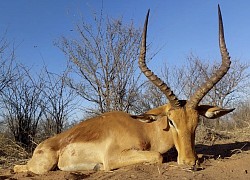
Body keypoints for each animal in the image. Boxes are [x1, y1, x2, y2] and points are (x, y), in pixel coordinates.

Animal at [14, 5, 234, 174]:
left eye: (197, 121)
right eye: (171, 121)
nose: (189, 161)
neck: (144, 129)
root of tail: (42, 146)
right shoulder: (113, 158)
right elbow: (157, 156)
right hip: (42, 166)